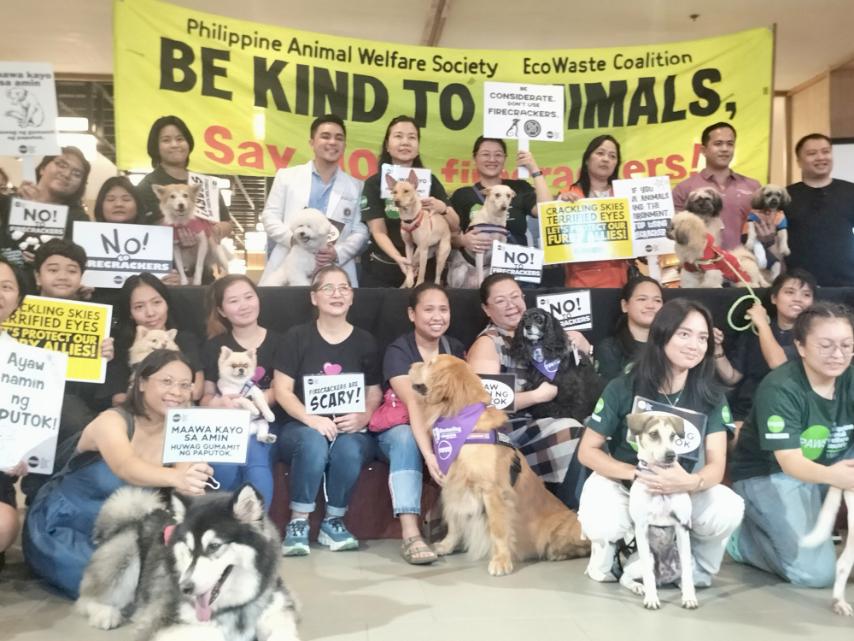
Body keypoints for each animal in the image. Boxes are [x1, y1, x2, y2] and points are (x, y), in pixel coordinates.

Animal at [76, 484, 300, 641]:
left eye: (214, 546)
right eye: (189, 548)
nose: (185, 588)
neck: (234, 606)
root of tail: (140, 515)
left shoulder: (280, 610)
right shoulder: (159, 626)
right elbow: (212, 633)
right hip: (127, 553)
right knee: (86, 599)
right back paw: (106, 614)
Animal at [408, 354, 589, 576]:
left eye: (430, 363)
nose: (410, 366)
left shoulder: (493, 492)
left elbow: (498, 529)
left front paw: (501, 561)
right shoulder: (453, 487)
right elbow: (454, 522)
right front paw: (447, 545)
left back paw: (558, 553)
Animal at [619, 412, 697, 610]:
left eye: (673, 436)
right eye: (654, 434)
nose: (671, 455)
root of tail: (663, 577)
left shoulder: (682, 526)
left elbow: (687, 571)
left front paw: (689, 597)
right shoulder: (641, 527)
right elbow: (648, 574)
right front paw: (651, 598)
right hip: (641, 561)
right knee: (626, 576)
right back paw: (638, 587)